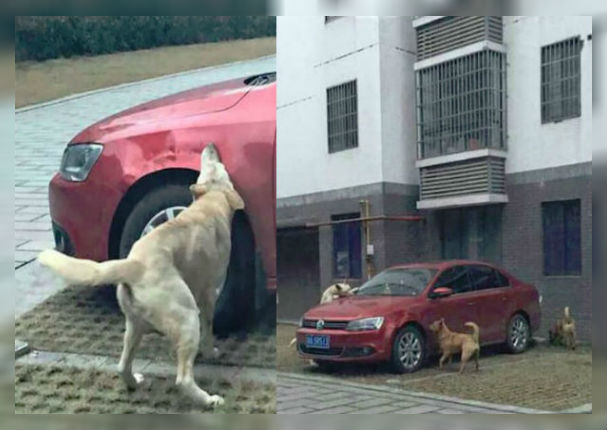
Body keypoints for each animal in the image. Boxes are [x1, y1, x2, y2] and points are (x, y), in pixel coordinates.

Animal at [36, 143, 242, 408]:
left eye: (208, 165)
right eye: (218, 165)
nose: (211, 146)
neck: (210, 203)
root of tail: (134, 264)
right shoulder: (208, 294)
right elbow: (209, 327)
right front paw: (211, 351)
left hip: (134, 326)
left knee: (123, 365)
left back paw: (134, 381)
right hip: (187, 316)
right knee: (183, 379)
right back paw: (208, 399)